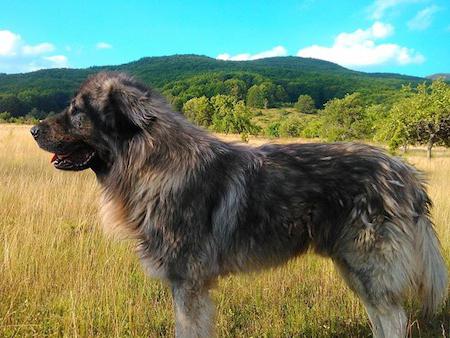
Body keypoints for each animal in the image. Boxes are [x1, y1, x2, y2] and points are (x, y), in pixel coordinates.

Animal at [30, 72, 446, 338]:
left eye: (77, 113)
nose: (33, 129)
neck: (151, 163)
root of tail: (408, 175)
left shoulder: (188, 285)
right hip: (354, 268)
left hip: (368, 267)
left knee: (394, 321)